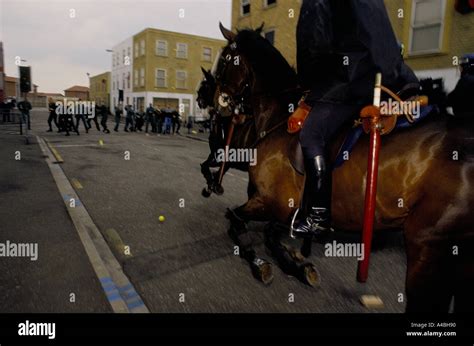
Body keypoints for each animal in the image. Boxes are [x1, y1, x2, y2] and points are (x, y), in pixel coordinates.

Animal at [206, 23, 474, 312]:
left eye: (224, 60)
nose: (215, 103)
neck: (279, 118)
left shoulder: (271, 202)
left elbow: (237, 222)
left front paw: (262, 263)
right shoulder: (281, 210)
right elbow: (263, 231)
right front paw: (297, 264)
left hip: (428, 248)